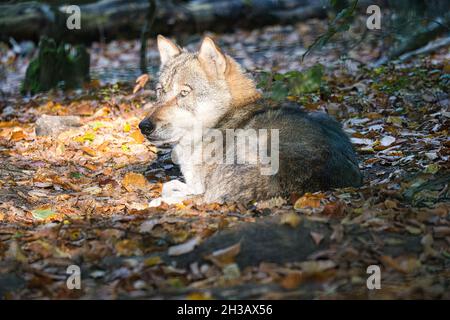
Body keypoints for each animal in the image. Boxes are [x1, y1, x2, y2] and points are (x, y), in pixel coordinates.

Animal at [139, 35, 364, 205]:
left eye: (184, 93)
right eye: (160, 91)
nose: (143, 126)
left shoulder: (203, 186)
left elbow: (171, 188)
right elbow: (172, 185)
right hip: (323, 116)